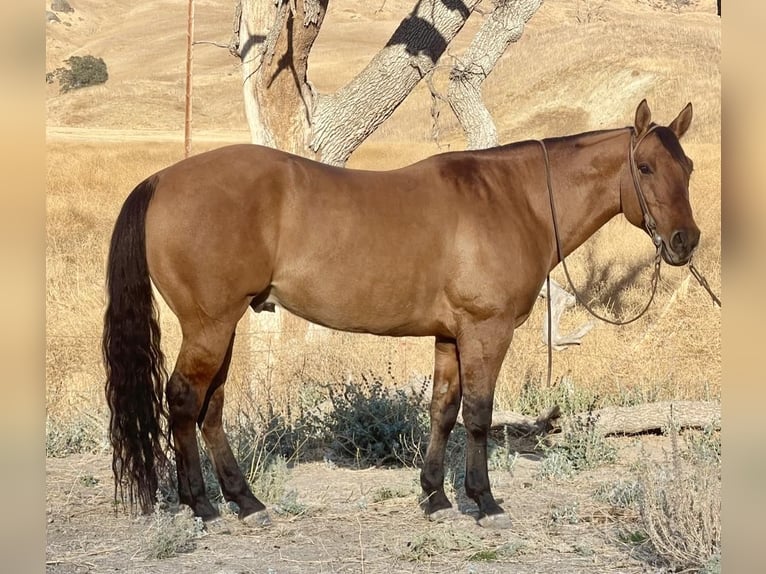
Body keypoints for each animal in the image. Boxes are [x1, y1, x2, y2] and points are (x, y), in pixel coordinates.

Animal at [103, 100, 704, 532]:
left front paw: (435, 495)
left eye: (689, 167)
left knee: (211, 408)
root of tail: (162, 180)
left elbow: (442, 411)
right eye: (645, 166)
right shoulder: (486, 332)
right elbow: (478, 416)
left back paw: (245, 501)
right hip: (209, 325)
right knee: (184, 400)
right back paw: (201, 506)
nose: (685, 241)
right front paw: (485, 502)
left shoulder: (450, 336)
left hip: (223, 327)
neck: (514, 200)